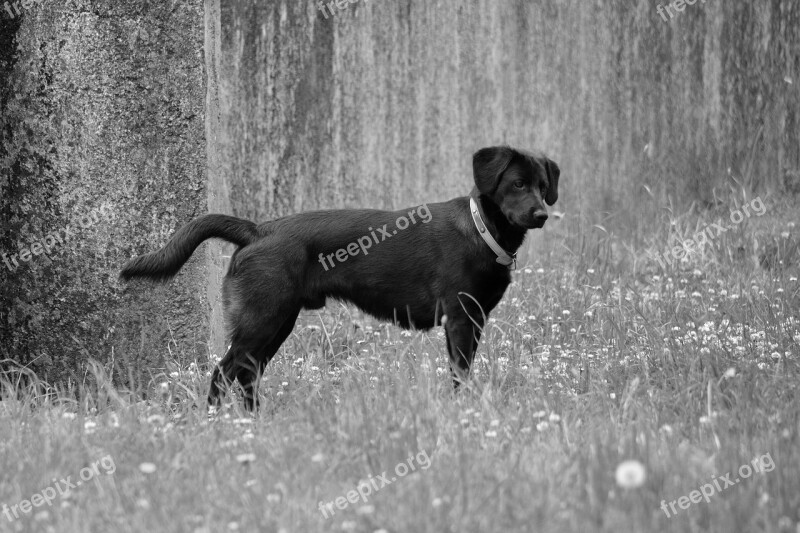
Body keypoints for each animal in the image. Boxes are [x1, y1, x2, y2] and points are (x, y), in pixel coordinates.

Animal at [122, 148, 560, 410]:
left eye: (543, 186)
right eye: (517, 183)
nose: (542, 214)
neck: (481, 230)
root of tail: (258, 230)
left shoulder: (474, 320)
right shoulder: (460, 321)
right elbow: (461, 374)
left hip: (275, 325)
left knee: (246, 377)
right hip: (260, 322)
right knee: (222, 373)